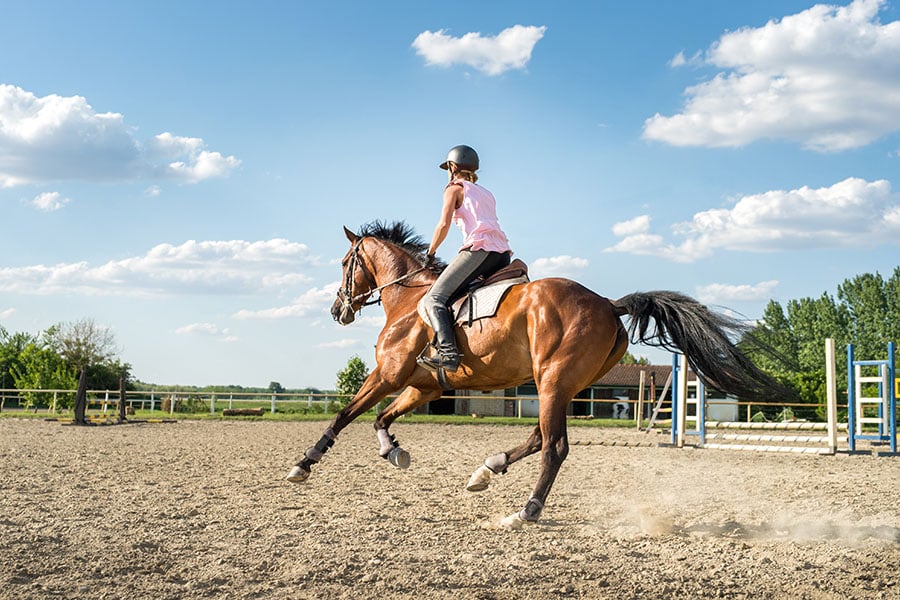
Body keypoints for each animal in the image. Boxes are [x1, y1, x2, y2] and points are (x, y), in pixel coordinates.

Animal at [287, 221, 785, 529]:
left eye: (345, 264)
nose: (336, 310)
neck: (410, 299)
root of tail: (608, 304)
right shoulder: (423, 385)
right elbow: (381, 418)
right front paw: (393, 451)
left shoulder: (388, 375)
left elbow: (347, 414)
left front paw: (303, 463)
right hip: (559, 387)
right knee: (539, 438)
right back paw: (487, 470)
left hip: (552, 381)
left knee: (555, 447)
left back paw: (525, 511)